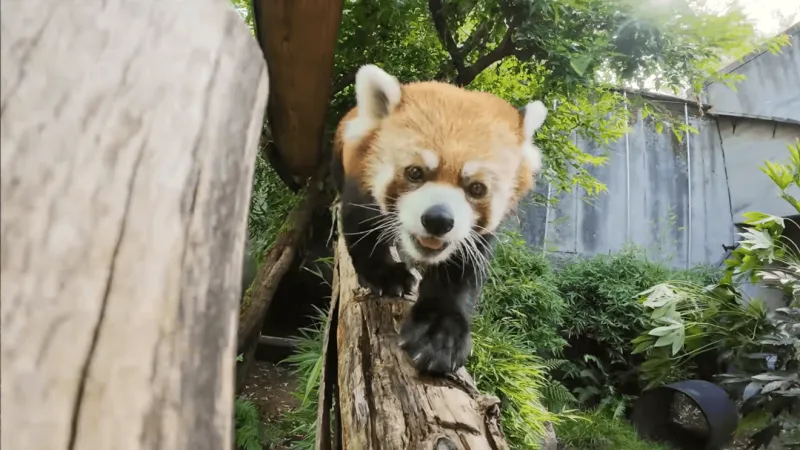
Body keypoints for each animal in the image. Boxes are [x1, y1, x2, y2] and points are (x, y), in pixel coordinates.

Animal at [331, 64, 547, 374]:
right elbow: (362, 228)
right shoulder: (359, 182)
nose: (438, 220)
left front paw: (439, 335)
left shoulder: (471, 235)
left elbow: (459, 268)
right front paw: (387, 275)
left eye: (477, 188)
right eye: (415, 172)